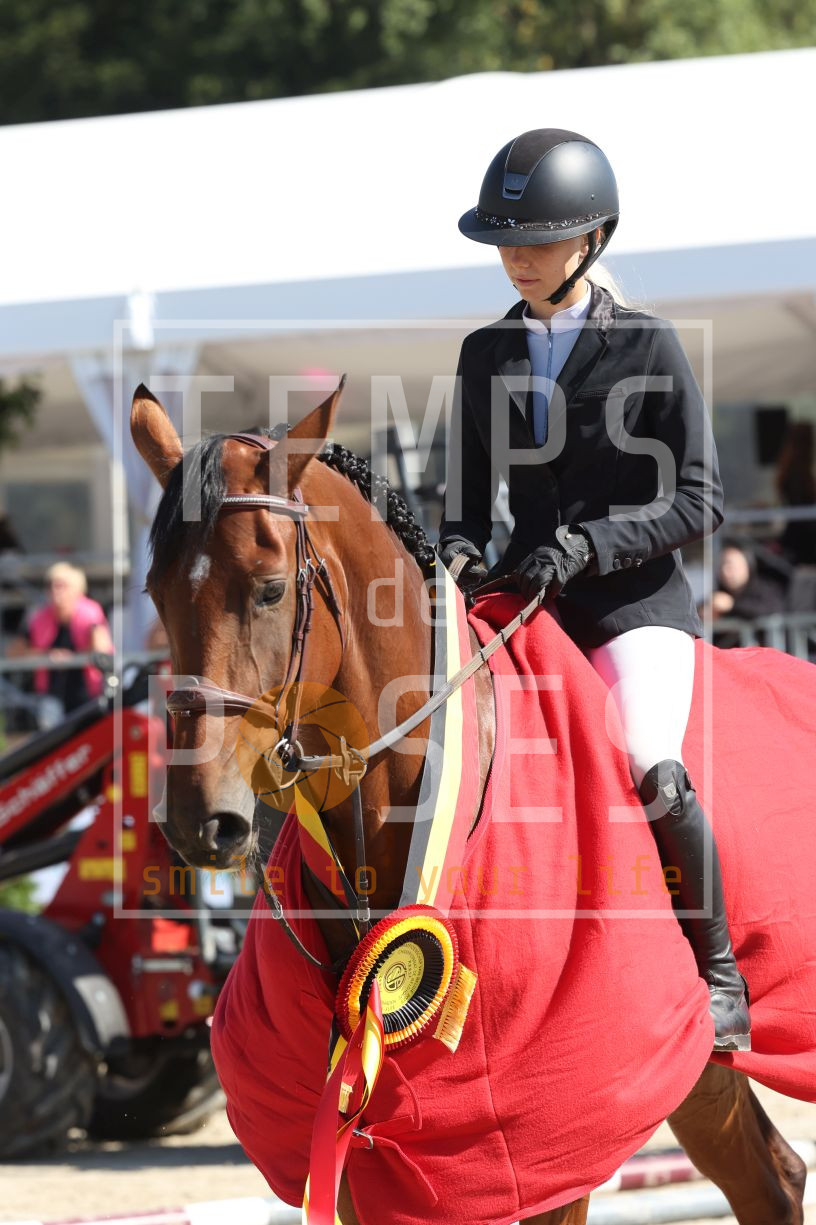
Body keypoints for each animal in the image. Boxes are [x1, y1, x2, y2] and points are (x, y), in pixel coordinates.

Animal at [131, 380, 811, 1225]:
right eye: (156, 593)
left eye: (269, 588)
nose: (200, 820)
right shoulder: (359, 1141)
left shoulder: (556, 1136)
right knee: (772, 1179)